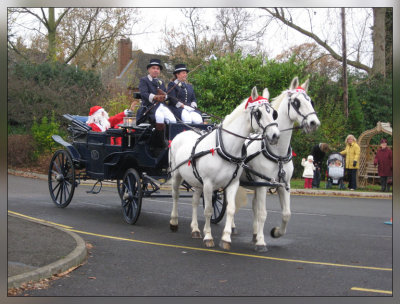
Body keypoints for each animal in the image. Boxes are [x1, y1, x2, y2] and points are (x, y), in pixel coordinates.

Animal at [170, 86, 280, 251]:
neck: (225, 148)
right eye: (258, 113)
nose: (275, 135)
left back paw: (195, 229)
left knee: (194, 201)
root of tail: (181, 134)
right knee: (176, 196)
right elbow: (208, 210)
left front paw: (226, 238)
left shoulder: (232, 183)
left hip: (197, 182)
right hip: (177, 175)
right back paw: (174, 222)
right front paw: (209, 237)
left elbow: (231, 209)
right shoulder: (208, 184)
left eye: (273, 112)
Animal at [234, 76, 322, 252]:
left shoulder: (284, 184)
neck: (277, 152)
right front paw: (261, 242)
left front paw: (275, 232)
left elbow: (286, 214)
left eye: (311, 101)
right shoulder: (262, 185)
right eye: (296, 102)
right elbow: (262, 213)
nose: (314, 123)